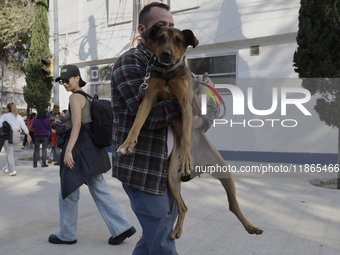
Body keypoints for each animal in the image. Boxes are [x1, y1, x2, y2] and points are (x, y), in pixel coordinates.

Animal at [117, 25, 262, 239]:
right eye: (160, 38)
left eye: (178, 41)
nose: (165, 54)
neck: (168, 73)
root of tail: (198, 166)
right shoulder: (148, 99)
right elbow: (136, 124)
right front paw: (127, 145)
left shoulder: (185, 103)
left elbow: (185, 136)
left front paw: (185, 157)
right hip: (171, 179)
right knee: (184, 207)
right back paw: (176, 230)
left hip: (224, 171)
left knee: (234, 205)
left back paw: (251, 227)